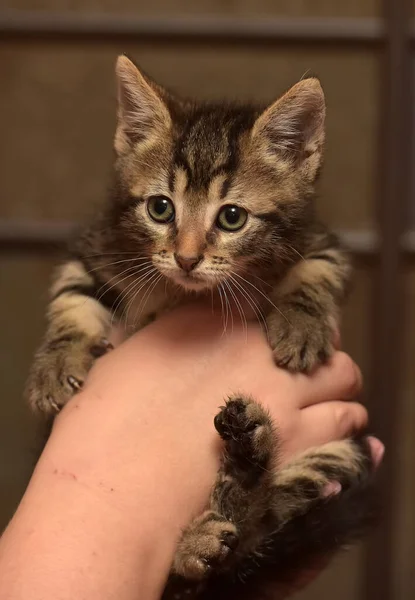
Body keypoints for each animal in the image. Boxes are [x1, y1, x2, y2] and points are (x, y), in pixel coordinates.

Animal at [26, 56, 376, 600]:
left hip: (340, 453)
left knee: (258, 527)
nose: (187, 258)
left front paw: (301, 327)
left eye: (232, 217)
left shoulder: (321, 242)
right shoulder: (98, 247)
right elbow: (73, 299)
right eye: (160, 208)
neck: (187, 292)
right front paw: (55, 364)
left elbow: (315, 273)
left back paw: (235, 480)